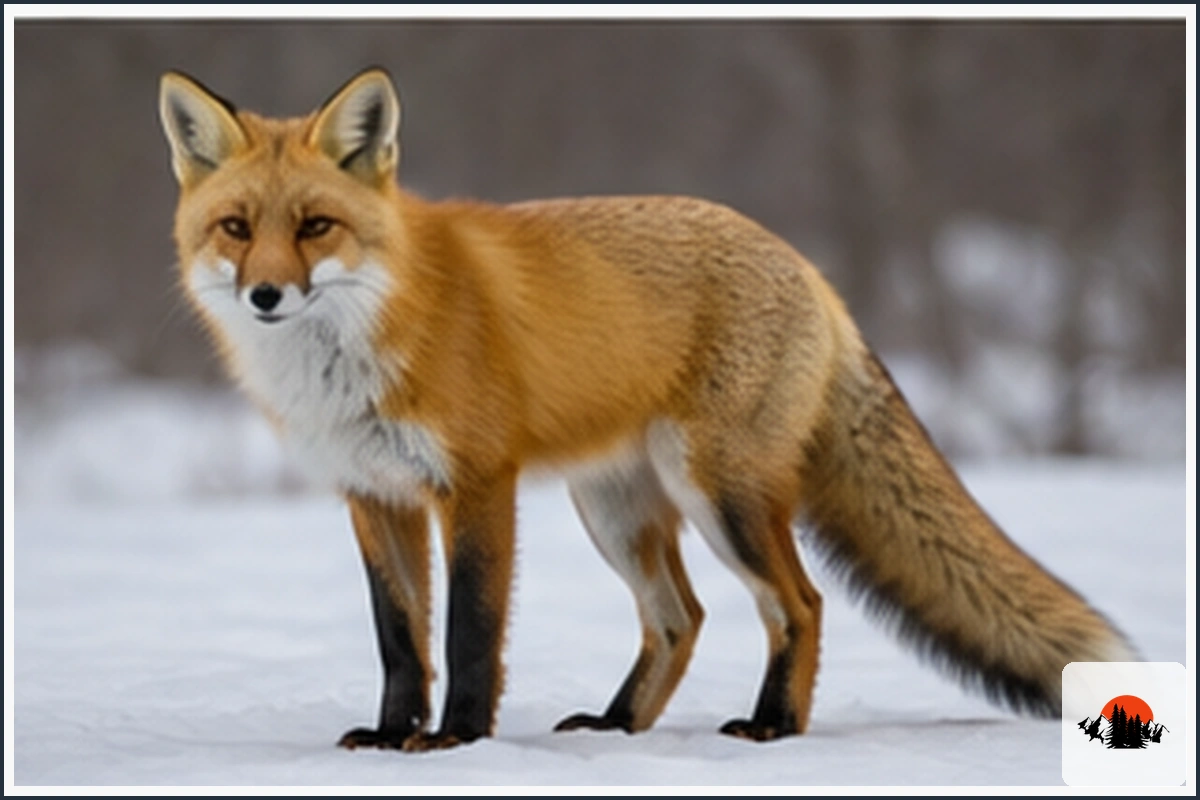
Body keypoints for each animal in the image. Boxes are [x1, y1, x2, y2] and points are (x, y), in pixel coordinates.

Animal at [158, 67, 1136, 752]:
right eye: (236, 229)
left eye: (315, 226)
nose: (267, 296)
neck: (359, 343)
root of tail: (808, 268)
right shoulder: (374, 496)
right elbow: (401, 638)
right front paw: (393, 733)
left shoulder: (476, 484)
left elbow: (470, 630)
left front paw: (457, 739)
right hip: (616, 509)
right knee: (681, 617)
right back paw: (619, 726)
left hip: (721, 495)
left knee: (800, 603)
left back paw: (773, 727)